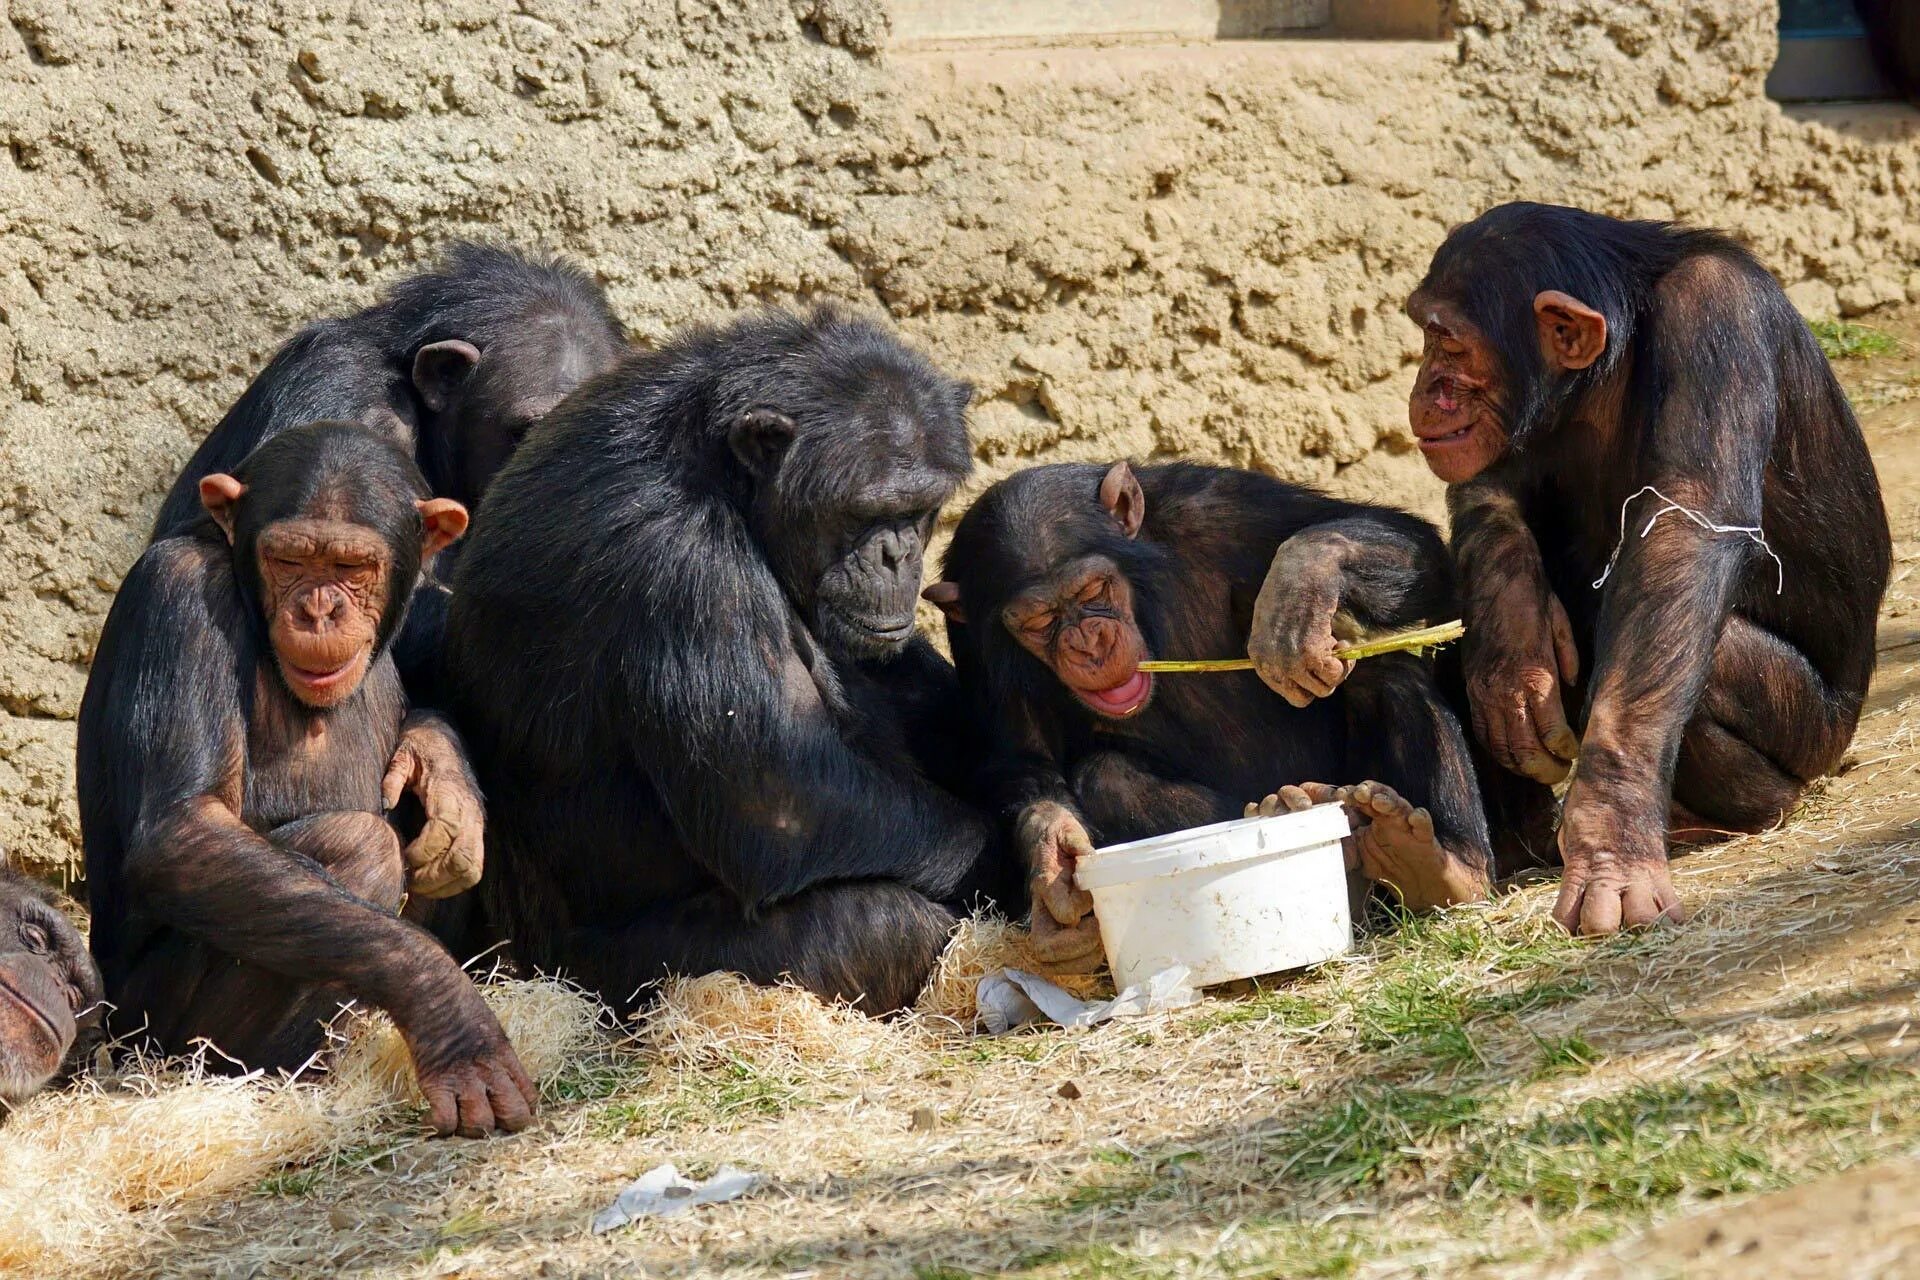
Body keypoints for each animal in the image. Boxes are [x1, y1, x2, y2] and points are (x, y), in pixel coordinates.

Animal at [78, 422, 537, 1143]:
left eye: (352, 567)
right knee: (359, 846)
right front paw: (450, 1013)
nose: (318, 610)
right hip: (149, 1029)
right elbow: (185, 831)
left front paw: (444, 776)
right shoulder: (177, 595)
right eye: (289, 560)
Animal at [443, 307, 1021, 1013]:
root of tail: (512, 963)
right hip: (608, 978)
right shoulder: (685, 568)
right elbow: (783, 799)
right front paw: (1004, 858)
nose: (898, 554)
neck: (724, 480)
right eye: (866, 511)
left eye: (920, 509)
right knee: (881, 923)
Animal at [929, 454, 1497, 967]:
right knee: (1108, 776)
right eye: (1038, 621)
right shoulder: (976, 640)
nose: (1087, 642)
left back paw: (1440, 864)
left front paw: (1301, 586)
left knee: (1387, 672)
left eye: (1092, 589)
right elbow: (1022, 757)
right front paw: (1053, 860)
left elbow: (1416, 547)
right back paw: (1294, 817)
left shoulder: (1216, 507)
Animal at [1405, 205, 1896, 936]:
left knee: (1699, 660)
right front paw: (1511, 641)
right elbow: (1492, 480)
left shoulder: (1715, 317)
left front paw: (1610, 844)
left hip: (1819, 733)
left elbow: (1684, 532)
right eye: (1427, 334)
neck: (1613, 364)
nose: (1425, 387)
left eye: (1448, 343)